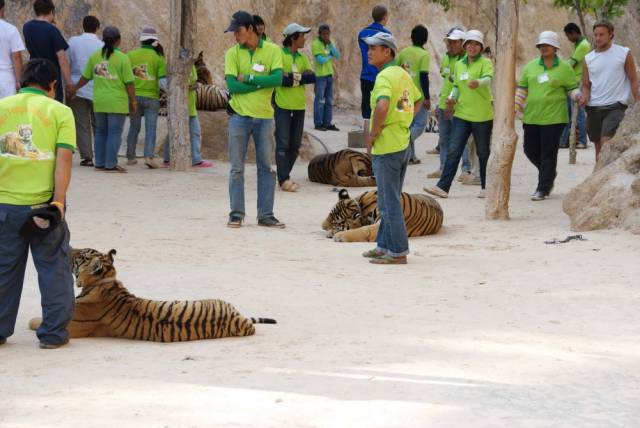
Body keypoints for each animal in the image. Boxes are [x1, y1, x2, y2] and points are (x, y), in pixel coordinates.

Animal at [28, 247, 276, 342]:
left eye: (82, 255)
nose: (70, 249)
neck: (104, 281)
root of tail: (238, 317)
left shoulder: (78, 326)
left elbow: (39, 320)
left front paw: (34, 323)